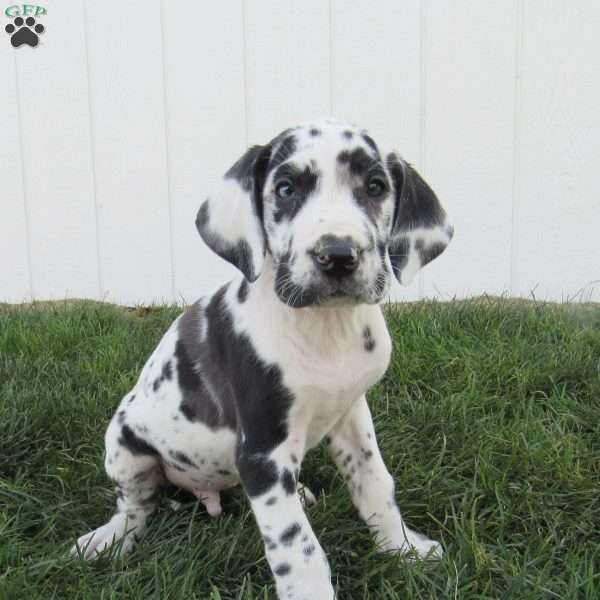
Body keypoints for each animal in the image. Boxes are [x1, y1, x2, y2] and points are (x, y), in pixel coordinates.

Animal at [72, 118, 452, 600]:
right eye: (285, 189)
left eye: (375, 186)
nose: (337, 256)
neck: (326, 328)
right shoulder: (262, 451)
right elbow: (297, 546)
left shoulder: (351, 415)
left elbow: (375, 484)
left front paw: (402, 549)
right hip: (124, 446)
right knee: (137, 505)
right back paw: (109, 539)